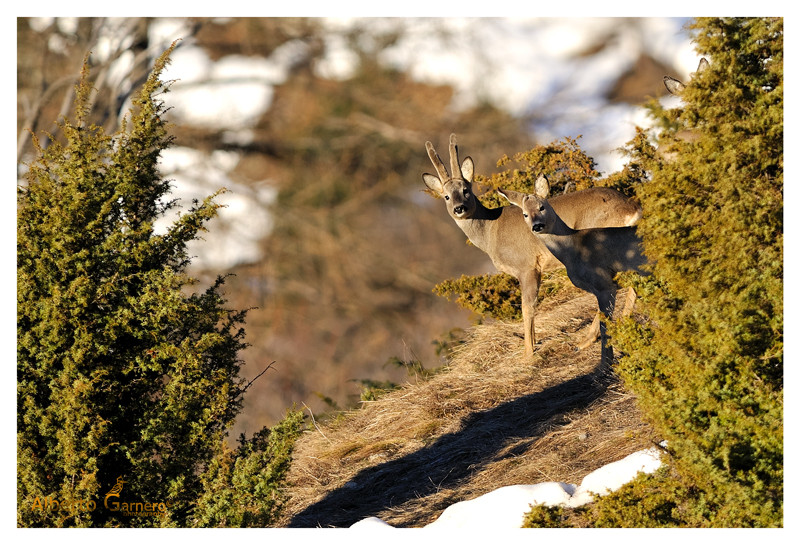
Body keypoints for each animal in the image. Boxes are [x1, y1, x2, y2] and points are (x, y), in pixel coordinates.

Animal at [422, 134, 640, 356]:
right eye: (446, 196)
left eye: (466, 190)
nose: (459, 208)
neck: (491, 232)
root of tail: (632, 208)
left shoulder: (527, 266)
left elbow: (527, 307)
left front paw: (528, 352)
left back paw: (587, 339)